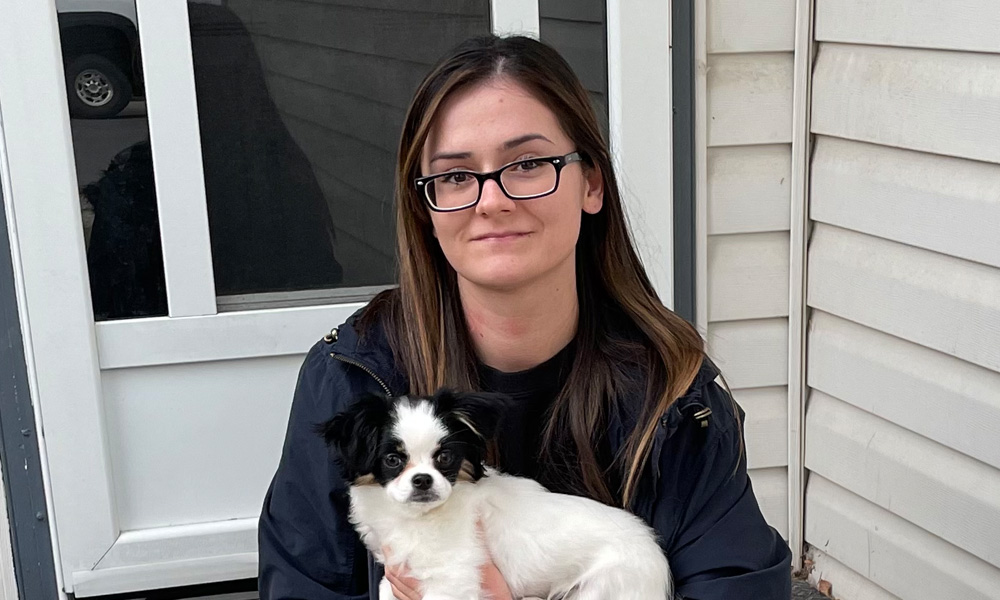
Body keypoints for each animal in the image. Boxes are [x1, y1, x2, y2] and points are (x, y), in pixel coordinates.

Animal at [320, 390, 672, 600]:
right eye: (393, 460)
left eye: (444, 457)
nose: (422, 480)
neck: (418, 520)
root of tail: (652, 549)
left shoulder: (451, 579)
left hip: (603, 589)